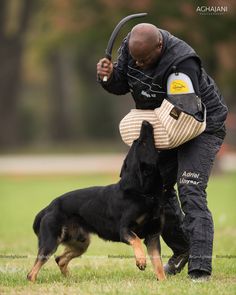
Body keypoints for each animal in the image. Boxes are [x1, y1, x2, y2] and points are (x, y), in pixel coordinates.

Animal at [26, 121, 165, 284]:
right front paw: (141, 260)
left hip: (81, 243)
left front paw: (163, 281)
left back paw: (70, 280)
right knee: (32, 272)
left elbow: (158, 264)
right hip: (50, 243)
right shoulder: (124, 230)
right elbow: (136, 240)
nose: (145, 122)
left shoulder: (153, 236)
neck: (141, 192)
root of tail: (48, 207)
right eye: (142, 142)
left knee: (60, 259)